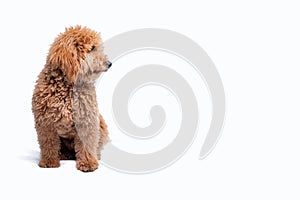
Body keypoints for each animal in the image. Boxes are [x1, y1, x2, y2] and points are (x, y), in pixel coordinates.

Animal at [31, 25, 111, 172]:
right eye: (92, 48)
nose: (109, 63)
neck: (68, 88)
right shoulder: (45, 123)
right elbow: (48, 144)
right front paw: (49, 162)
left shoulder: (86, 121)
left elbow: (86, 144)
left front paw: (88, 163)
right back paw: (64, 155)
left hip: (101, 123)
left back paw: (95, 156)